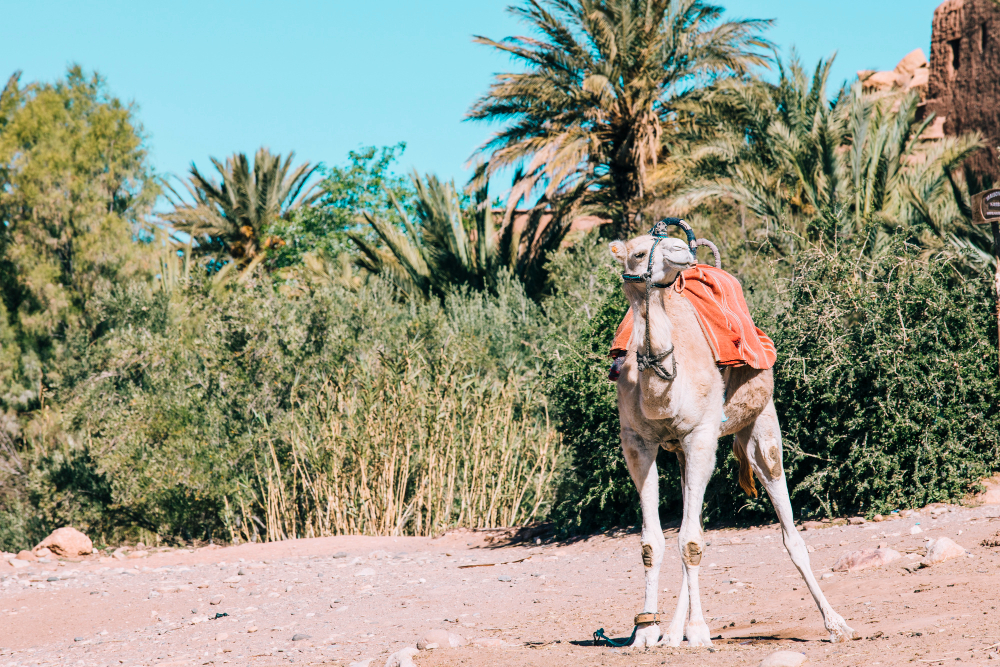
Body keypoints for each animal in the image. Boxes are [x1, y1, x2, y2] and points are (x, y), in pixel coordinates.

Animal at [604, 228, 856, 648]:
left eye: (669, 239)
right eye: (638, 253)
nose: (682, 250)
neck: (661, 388)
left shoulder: (701, 435)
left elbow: (689, 542)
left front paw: (698, 630)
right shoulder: (637, 442)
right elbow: (652, 543)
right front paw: (646, 632)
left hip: (760, 424)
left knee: (787, 530)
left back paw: (836, 624)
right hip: (684, 451)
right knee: (691, 527)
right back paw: (672, 633)